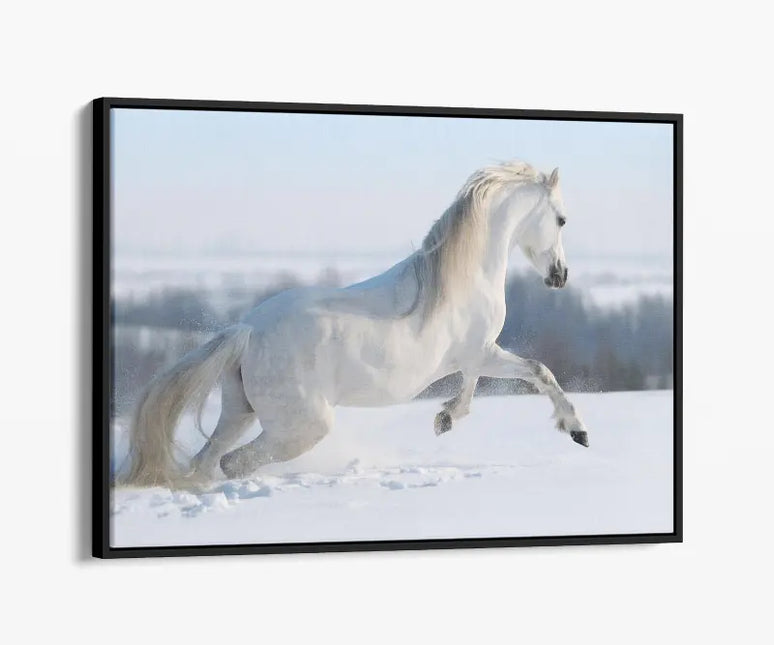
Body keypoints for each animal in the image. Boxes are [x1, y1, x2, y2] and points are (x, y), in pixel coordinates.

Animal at [121, 160, 589, 488]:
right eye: (562, 219)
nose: (560, 276)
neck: (462, 277)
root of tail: (247, 333)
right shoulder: (483, 352)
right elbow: (539, 371)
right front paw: (577, 430)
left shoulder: (474, 357)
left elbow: (475, 386)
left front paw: (445, 418)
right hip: (303, 426)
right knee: (232, 462)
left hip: (238, 412)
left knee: (206, 459)